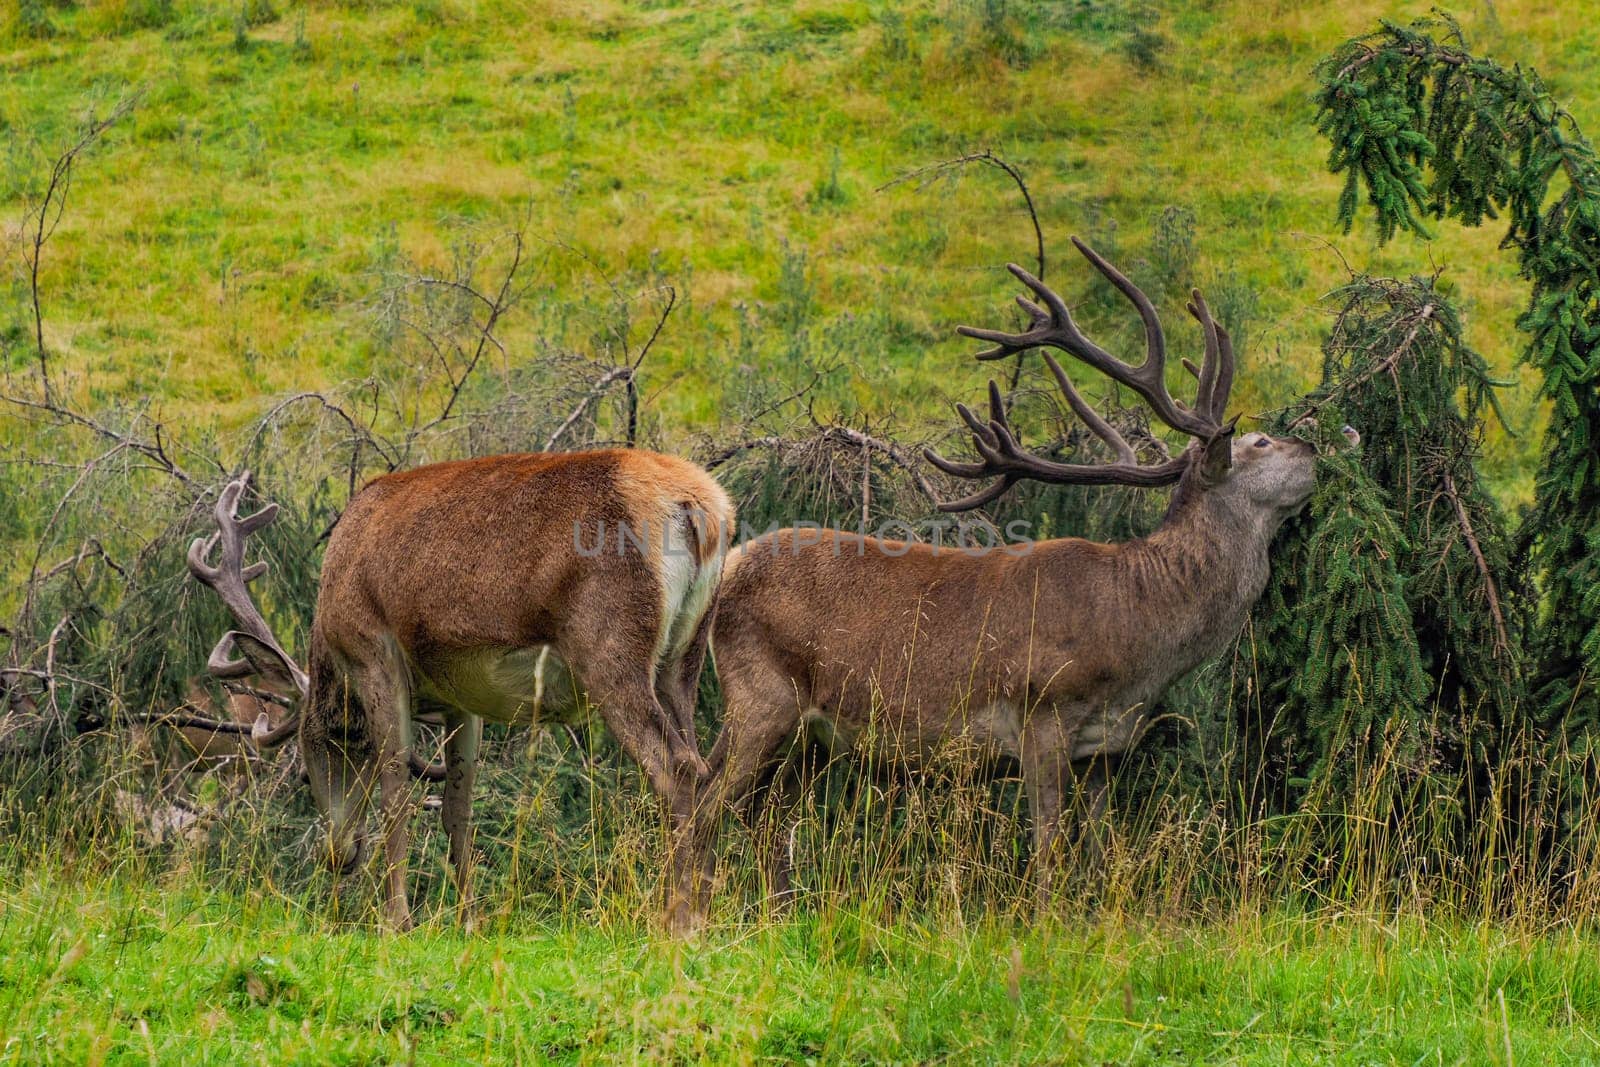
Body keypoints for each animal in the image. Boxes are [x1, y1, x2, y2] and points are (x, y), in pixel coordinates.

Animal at [192, 447, 732, 927]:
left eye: (305, 772)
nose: (338, 854)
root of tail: (699, 509)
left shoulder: (374, 652)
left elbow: (396, 789)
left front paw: (397, 920)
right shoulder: (460, 698)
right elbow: (458, 806)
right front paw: (469, 918)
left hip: (609, 648)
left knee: (678, 770)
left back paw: (678, 922)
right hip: (682, 658)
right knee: (704, 767)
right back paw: (704, 913)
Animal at [675, 239, 1324, 921]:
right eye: (1260, 442)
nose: (1316, 446)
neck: (1138, 631)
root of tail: (727, 568)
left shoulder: (1104, 749)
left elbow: (1098, 853)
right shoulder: (1042, 712)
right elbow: (1048, 850)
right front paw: (1042, 922)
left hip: (810, 735)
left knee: (764, 817)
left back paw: (780, 912)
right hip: (761, 693)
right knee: (702, 803)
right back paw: (688, 916)